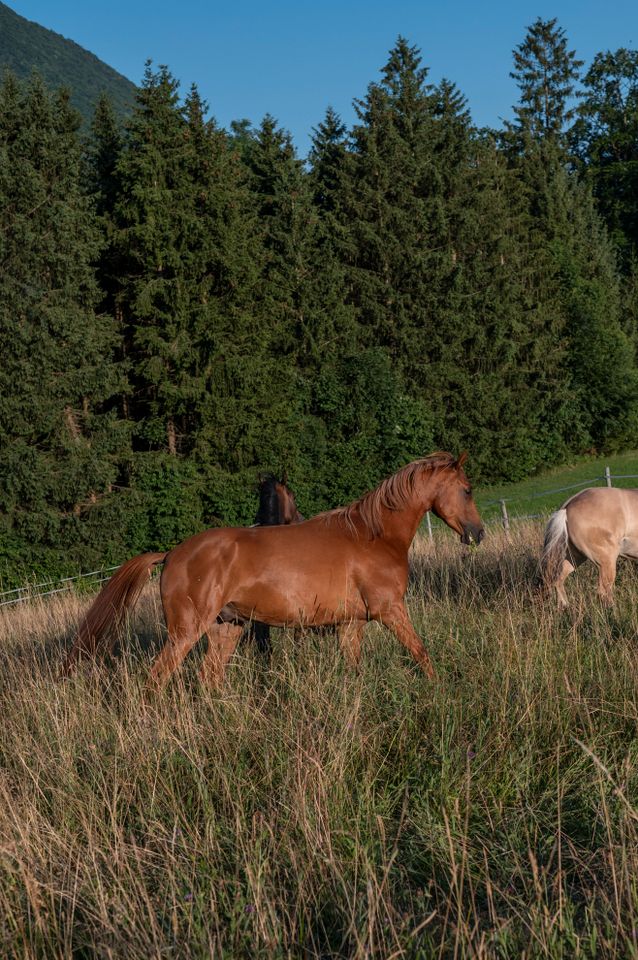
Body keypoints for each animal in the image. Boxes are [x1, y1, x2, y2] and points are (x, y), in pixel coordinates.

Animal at [63, 454, 484, 688]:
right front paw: (440, 692)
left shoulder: (351, 624)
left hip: (227, 628)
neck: (373, 535)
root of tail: (170, 555)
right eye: (467, 489)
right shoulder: (390, 611)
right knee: (158, 679)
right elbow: (421, 654)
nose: (478, 533)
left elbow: (355, 671)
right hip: (186, 632)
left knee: (209, 678)